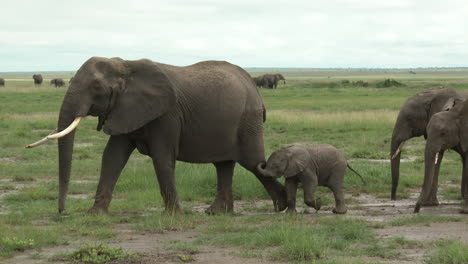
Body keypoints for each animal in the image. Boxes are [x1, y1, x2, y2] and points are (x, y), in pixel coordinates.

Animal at [28, 56, 288, 214]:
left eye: (96, 88)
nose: (62, 211)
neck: (126, 66)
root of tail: (256, 91)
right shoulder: (126, 109)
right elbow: (112, 157)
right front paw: (95, 215)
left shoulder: (167, 114)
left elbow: (162, 158)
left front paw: (174, 215)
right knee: (224, 165)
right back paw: (216, 213)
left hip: (248, 120)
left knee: (254, 163)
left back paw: (282, 206)